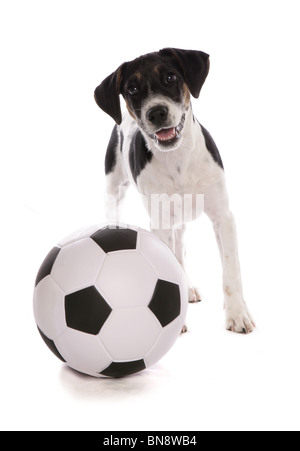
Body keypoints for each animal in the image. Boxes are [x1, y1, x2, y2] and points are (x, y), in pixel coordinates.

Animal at [94, 47, 255, 334]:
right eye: (132, 88)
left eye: (170, 77)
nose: (156, 112)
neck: (178, 160)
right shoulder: (160, 222)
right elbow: (168, 265)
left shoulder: (223, 217)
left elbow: (231, 269)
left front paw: (238, 314)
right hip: (115, 190)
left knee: (181, 250)